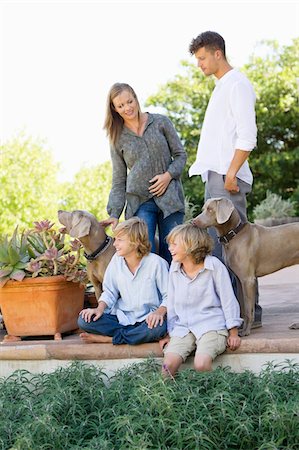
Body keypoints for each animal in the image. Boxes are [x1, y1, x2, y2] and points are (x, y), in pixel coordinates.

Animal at [192, 199, 299, 336]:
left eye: (210, 209)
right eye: (203, 209)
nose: (194, 221)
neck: (234, 235)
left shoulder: (248, 280)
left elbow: (248, 308)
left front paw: (246, 331)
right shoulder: (239, 280)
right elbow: (242, 306)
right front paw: (241, 327)